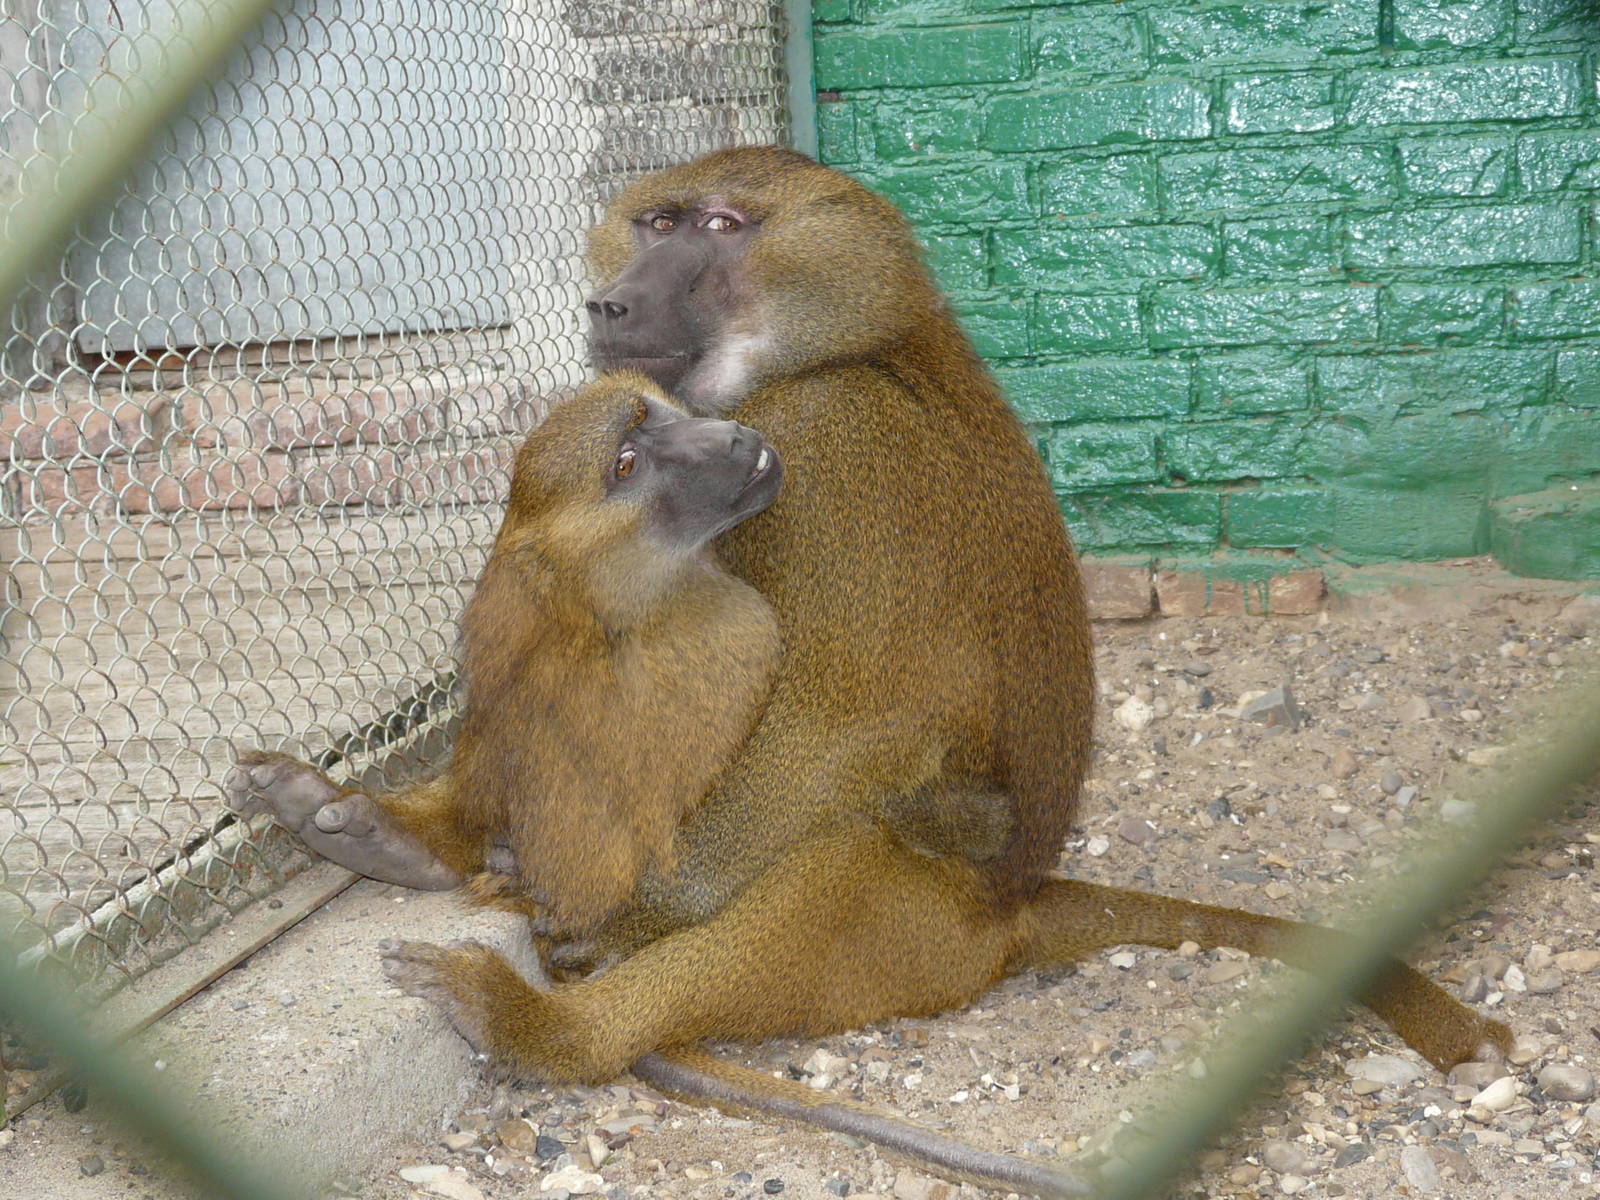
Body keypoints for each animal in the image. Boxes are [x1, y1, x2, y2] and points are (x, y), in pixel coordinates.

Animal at [231, 148, 1510, 1191]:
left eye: (717, 226)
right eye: (653, 224)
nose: (610, 301)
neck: (865, 346)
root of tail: (1013, 911)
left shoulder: (821, 446)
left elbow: (820, 736)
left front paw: (588, 913)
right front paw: (432, 834)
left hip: (911, 935)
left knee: (825, 864)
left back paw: (552, 1028)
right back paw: (396, 841)